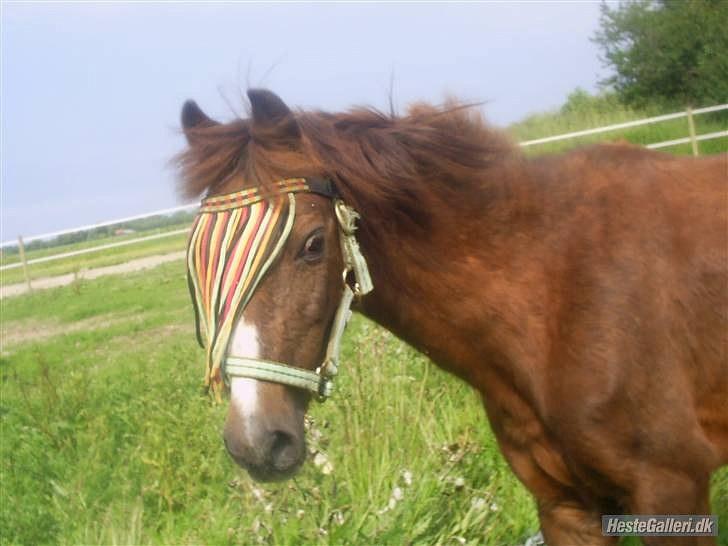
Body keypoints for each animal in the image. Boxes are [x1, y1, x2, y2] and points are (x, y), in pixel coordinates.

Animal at [176, 89, 727, 546]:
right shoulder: (565, 507)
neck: (553, 292)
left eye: (312, 246)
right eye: (195, 264)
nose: (254, 443)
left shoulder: (671, 493)